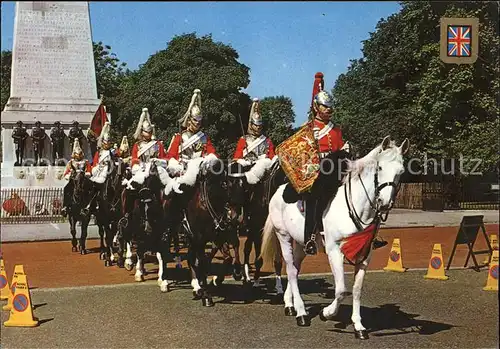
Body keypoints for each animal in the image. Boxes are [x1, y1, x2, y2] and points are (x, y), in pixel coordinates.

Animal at [260, 135, 408, 338]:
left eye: (401, 171)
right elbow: (340, 290)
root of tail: (279, 188)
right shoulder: (334, 250)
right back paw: (301, 313)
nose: (385, 203)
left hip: (301, 243)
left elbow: (356, 289)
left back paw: (290, 304)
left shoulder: (365, 255)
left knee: (295, 269)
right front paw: (327, 313)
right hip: (283, 236)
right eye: (379, 168)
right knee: (290, 269)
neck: (356, 207)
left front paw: (358, 326)